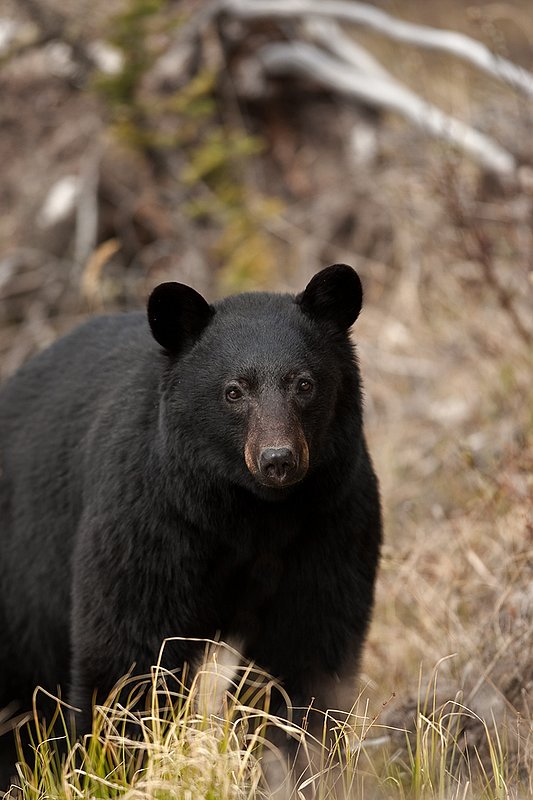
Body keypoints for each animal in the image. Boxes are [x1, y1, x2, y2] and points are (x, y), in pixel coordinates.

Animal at [0, 264, 381, 786]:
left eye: (304, 384)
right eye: (233, 391)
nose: (278, 459)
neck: (251, 515)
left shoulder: (330, 521)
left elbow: (305, 651)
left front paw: (293, 767)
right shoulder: (152, 519)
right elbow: (131, 651)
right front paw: (119, 769)